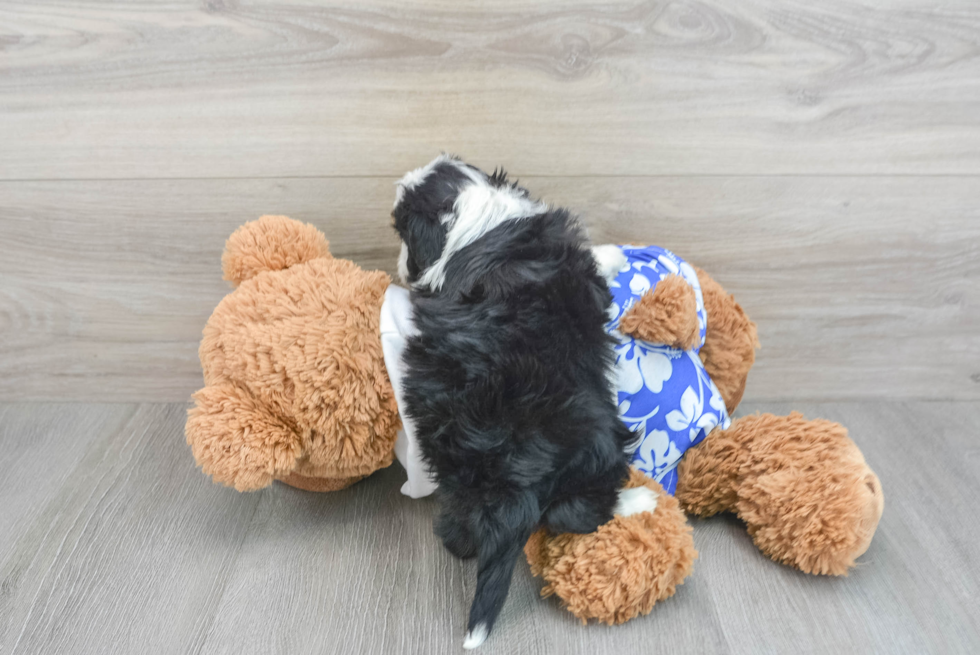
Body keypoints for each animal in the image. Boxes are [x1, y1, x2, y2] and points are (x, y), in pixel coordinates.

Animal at [390, 155, 660, 652]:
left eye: (403, 232)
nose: (402, 267)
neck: (480, 219)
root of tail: (512, 478)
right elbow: (601, 260)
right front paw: (619, 252)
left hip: (455, 479)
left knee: (459, 536)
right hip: (600, 445)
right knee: (573, 513)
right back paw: (638, 501)